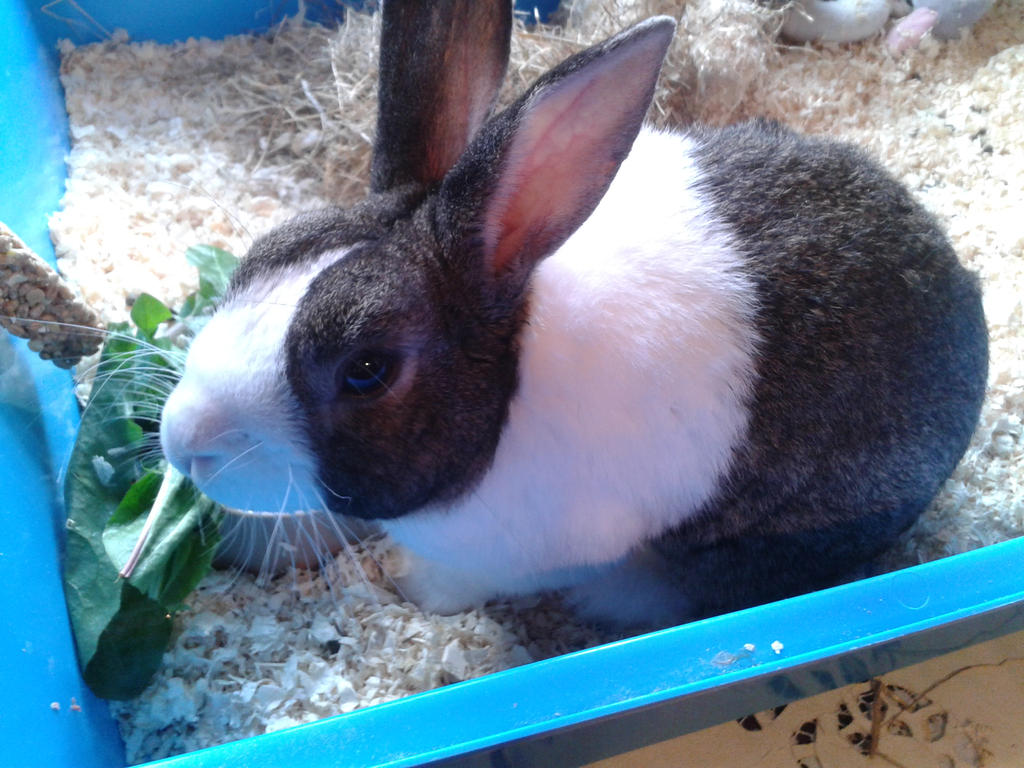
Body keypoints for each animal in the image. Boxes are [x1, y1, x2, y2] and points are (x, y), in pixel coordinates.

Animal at [160, 0, 988, 628]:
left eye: (367, 370)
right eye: (257, 255)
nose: (181, 439)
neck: (509, 375)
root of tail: (961, 285)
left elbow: (466, 583)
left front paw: (412, 585)